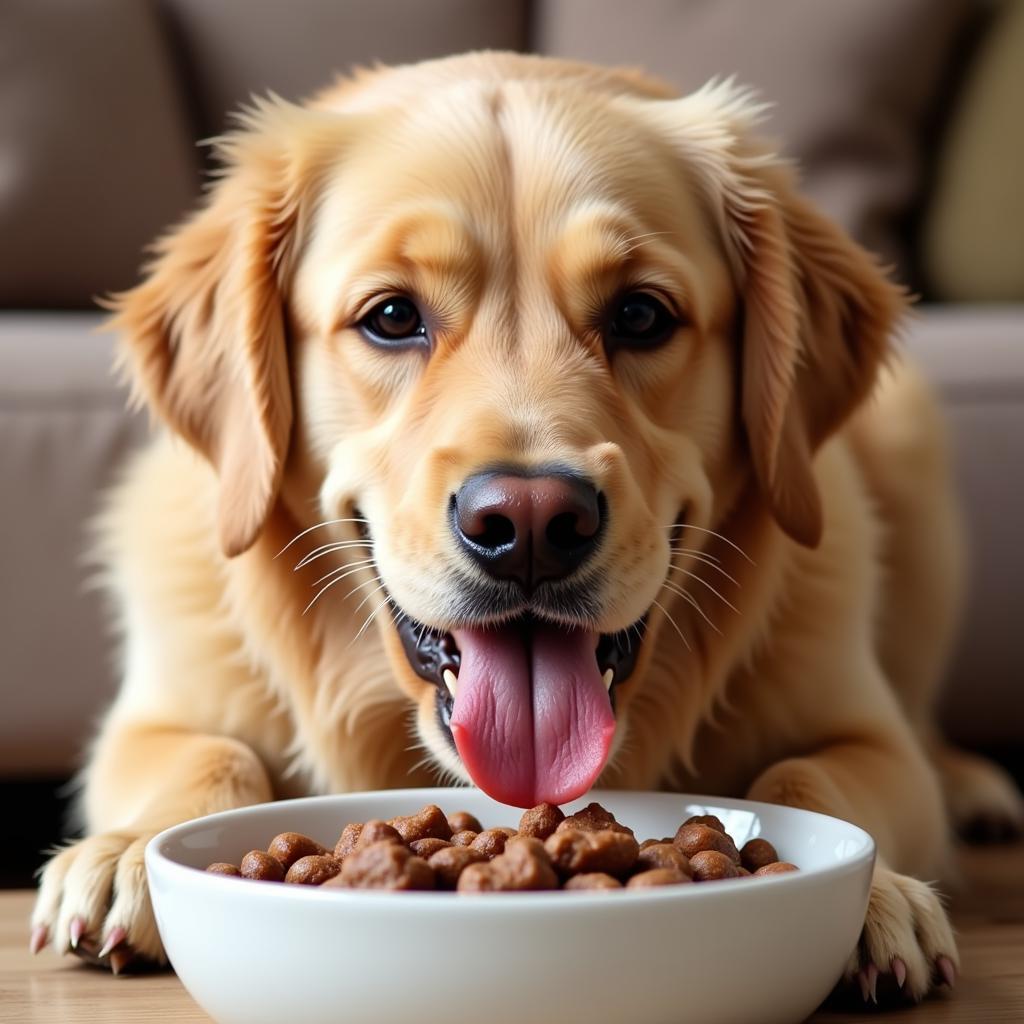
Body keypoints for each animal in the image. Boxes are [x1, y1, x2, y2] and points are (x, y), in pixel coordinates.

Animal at [28, 51, 1019, 995]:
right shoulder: (153, 718)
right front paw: (126, 853)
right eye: (392, 316)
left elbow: (813, 774)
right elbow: (210, 760)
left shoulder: (865, 732)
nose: (533, 523)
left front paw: (879, 895)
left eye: (641, 314)